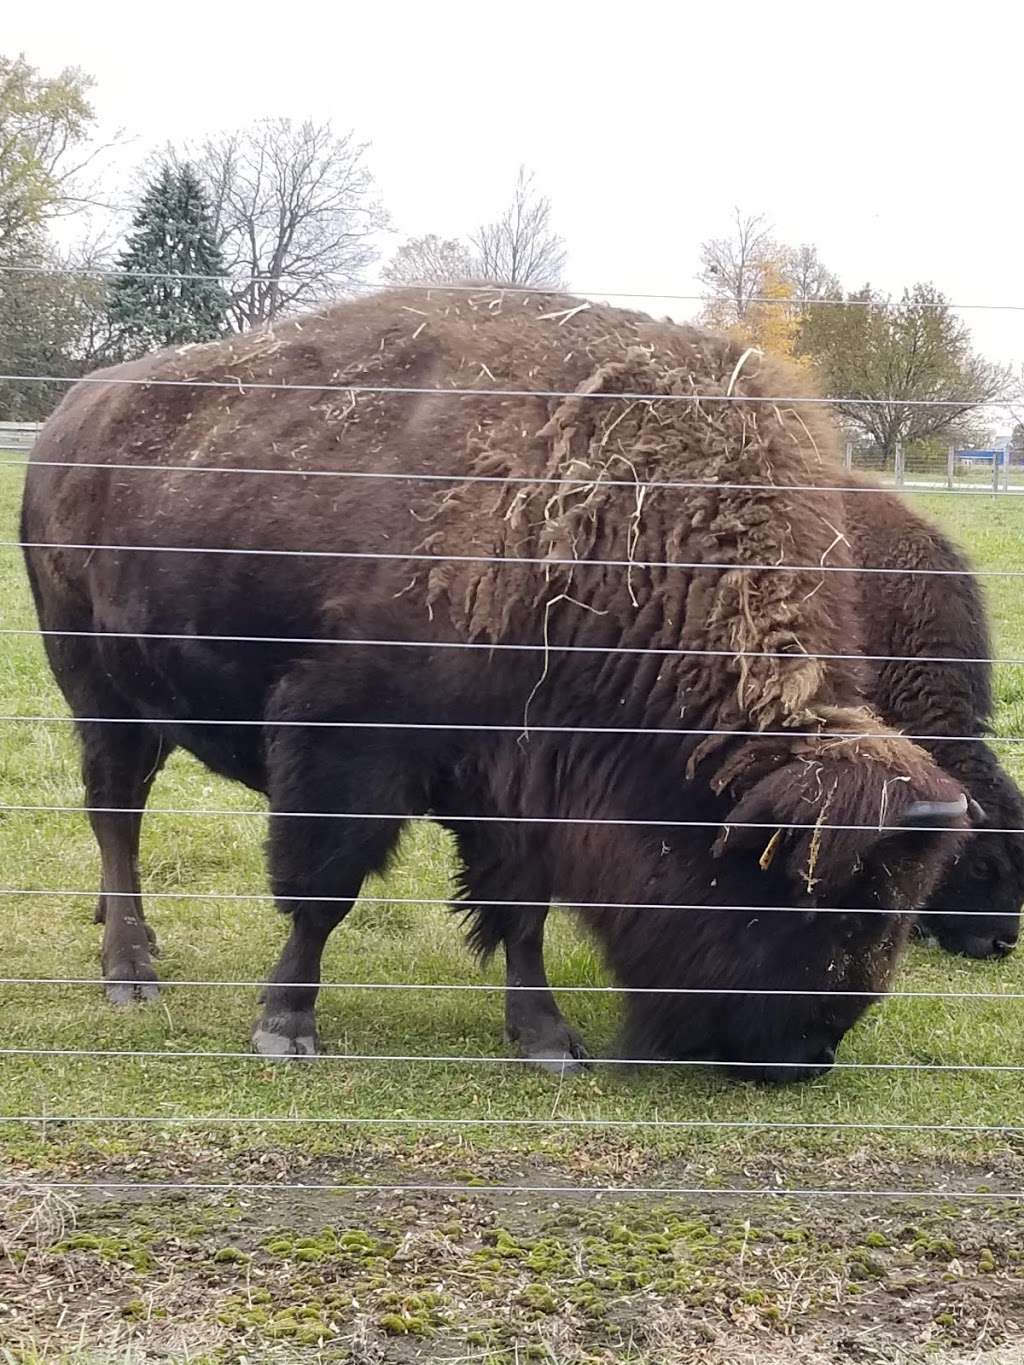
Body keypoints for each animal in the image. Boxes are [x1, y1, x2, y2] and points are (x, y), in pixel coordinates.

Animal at [20, 293, 972, 1081]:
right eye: (825, 901)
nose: (805, 1055)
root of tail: (68, 419)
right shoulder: (342, 747)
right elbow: (322, 891)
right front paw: (286, 1027)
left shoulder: (518, 781)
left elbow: (521, 909)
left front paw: (547, 1039)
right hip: (98, 693)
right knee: (117, 815)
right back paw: (130, 971)